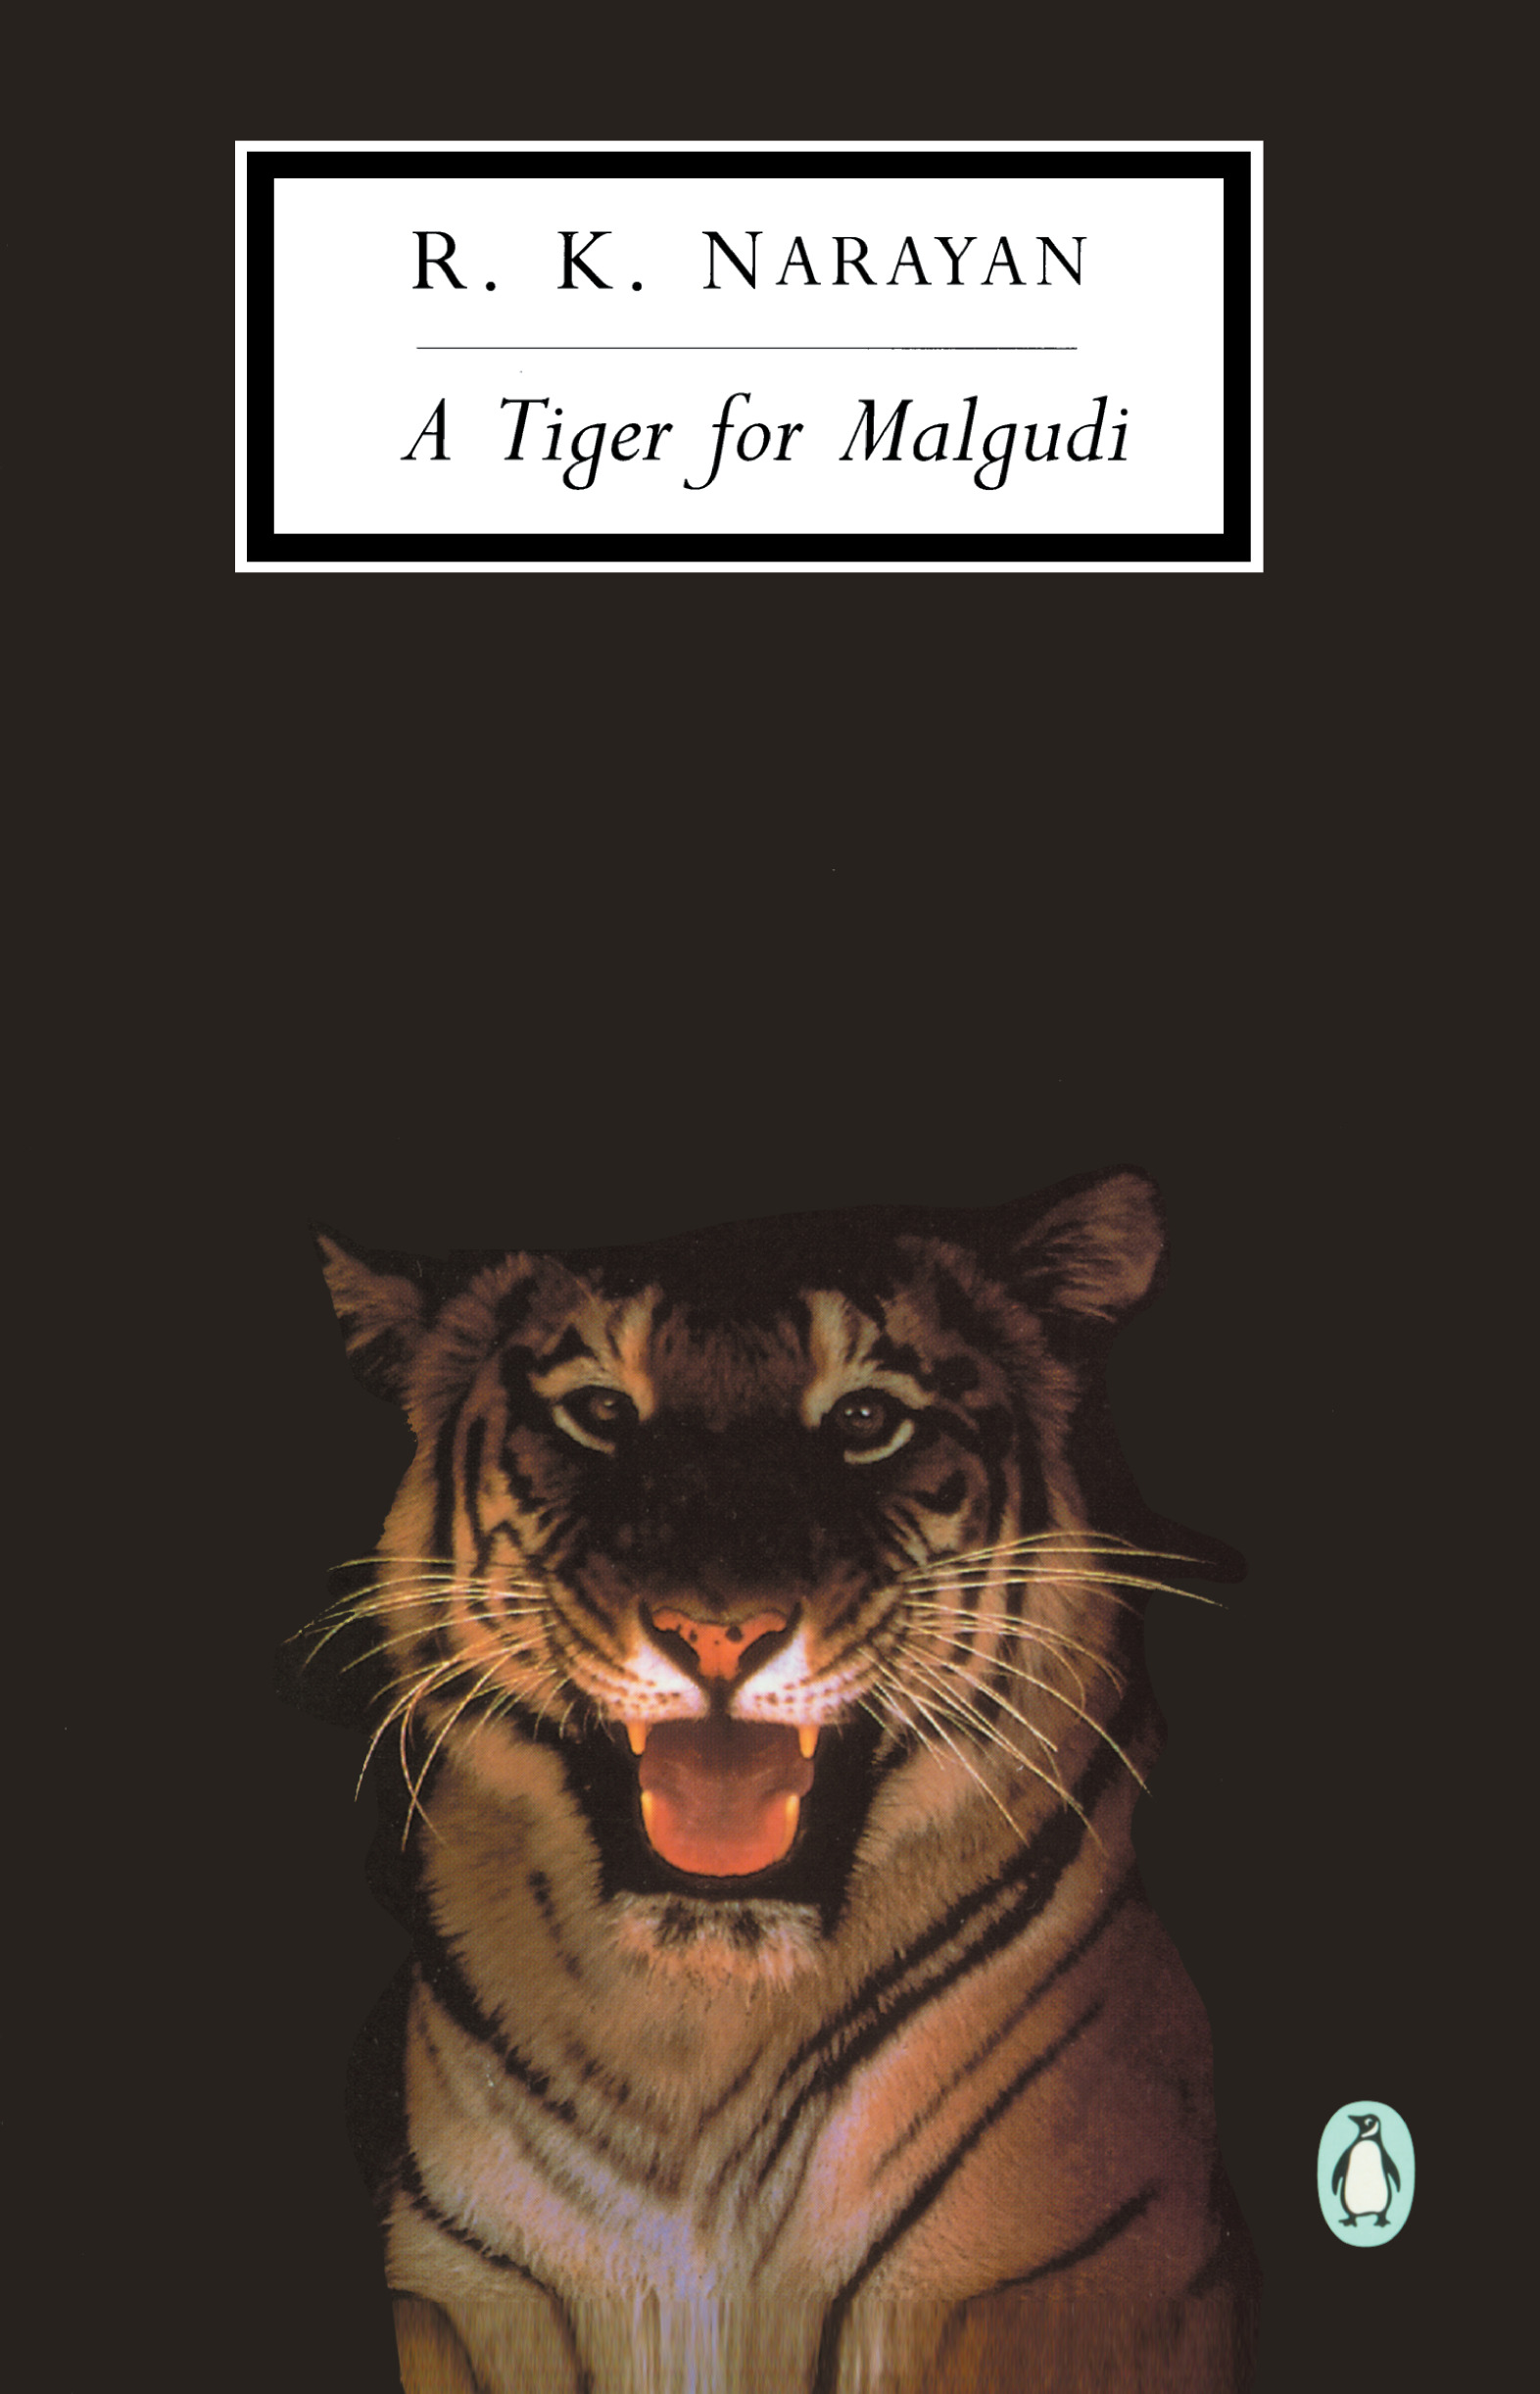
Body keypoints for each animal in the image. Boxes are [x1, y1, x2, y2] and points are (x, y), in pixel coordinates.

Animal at [302, 1172, 1259, 2394]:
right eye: (600, 1411)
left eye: (864, 1420)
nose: (719, 1630)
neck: (694, 2044)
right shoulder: (472, 2291)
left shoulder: (1073, 2271)